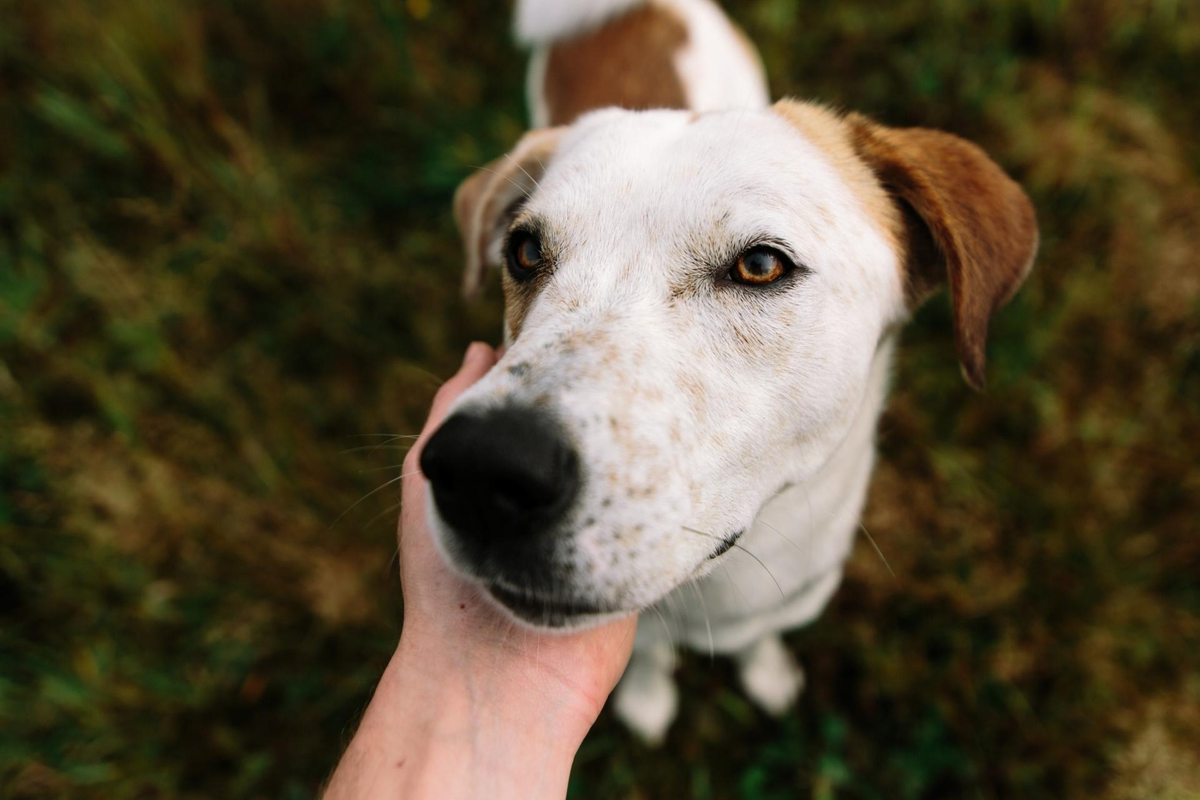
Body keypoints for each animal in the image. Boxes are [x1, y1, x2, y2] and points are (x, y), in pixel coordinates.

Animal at [417, 0, 1036, 743]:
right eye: (525, 251)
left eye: (761, 265)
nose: (481, 468)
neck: (714, 591)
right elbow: (648, 659)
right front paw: (648, 699)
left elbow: (759, 641)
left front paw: (767, 674)